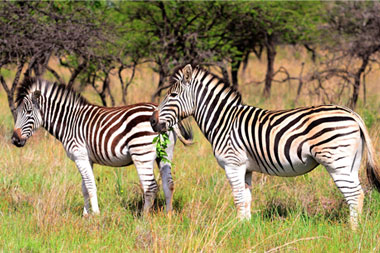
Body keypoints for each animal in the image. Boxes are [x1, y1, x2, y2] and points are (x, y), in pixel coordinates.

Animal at [11, 77, 193, 215]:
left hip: (141, 154)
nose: (14, 140)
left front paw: (96, 215)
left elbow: (91, 186)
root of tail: (157, 109)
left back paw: (143, 218)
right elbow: (84, 187)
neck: (69, 122)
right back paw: (168, 216)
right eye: (18, 112)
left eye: (28, 112)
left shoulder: (79, 155)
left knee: (151, 187)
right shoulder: (87, 158)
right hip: (165, 154)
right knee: (168, 184)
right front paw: (85, 215)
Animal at [151, 63, 380, 229]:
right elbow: (246, 198)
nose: (153, 122)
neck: (224, 121)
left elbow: (237, 198)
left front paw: (236, 230)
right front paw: (245, 228)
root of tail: (352, 113)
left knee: (355, 195)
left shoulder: (233, 164)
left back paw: (353, 232)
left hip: (336, 162)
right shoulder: (246, 168)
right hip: (350, 163)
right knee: (359, 192)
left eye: (172, 96)